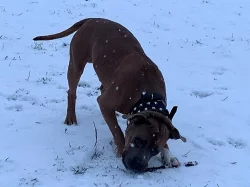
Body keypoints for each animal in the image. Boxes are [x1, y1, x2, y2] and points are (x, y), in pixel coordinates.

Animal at [33, 17, 186, 172]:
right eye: (138, 141)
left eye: (154, 150)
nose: (137, 167)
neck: (147, 95)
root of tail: (92, 19)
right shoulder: (105, 103)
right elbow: (117, 130)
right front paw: (120, 148)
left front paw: (168, 155)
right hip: (76, 64)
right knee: (72, 92)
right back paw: (71, 117)